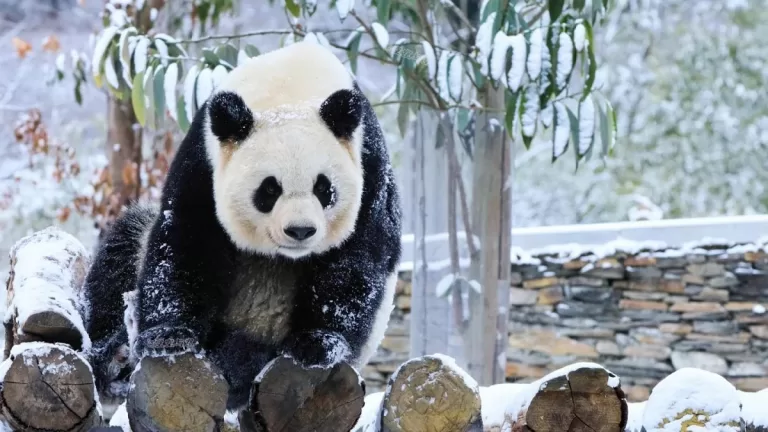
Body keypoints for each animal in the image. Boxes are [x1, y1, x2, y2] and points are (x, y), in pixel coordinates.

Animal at [82, 41, 402, 410]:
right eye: (269, 189)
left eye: (324, 188)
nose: (300, 231)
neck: (291, 85)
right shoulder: (203, 157)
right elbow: (185, 239)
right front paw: (168, 336)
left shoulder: (369, 165)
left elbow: (356, 258)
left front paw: (319, 343)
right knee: (123, 248)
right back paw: (116, 355)